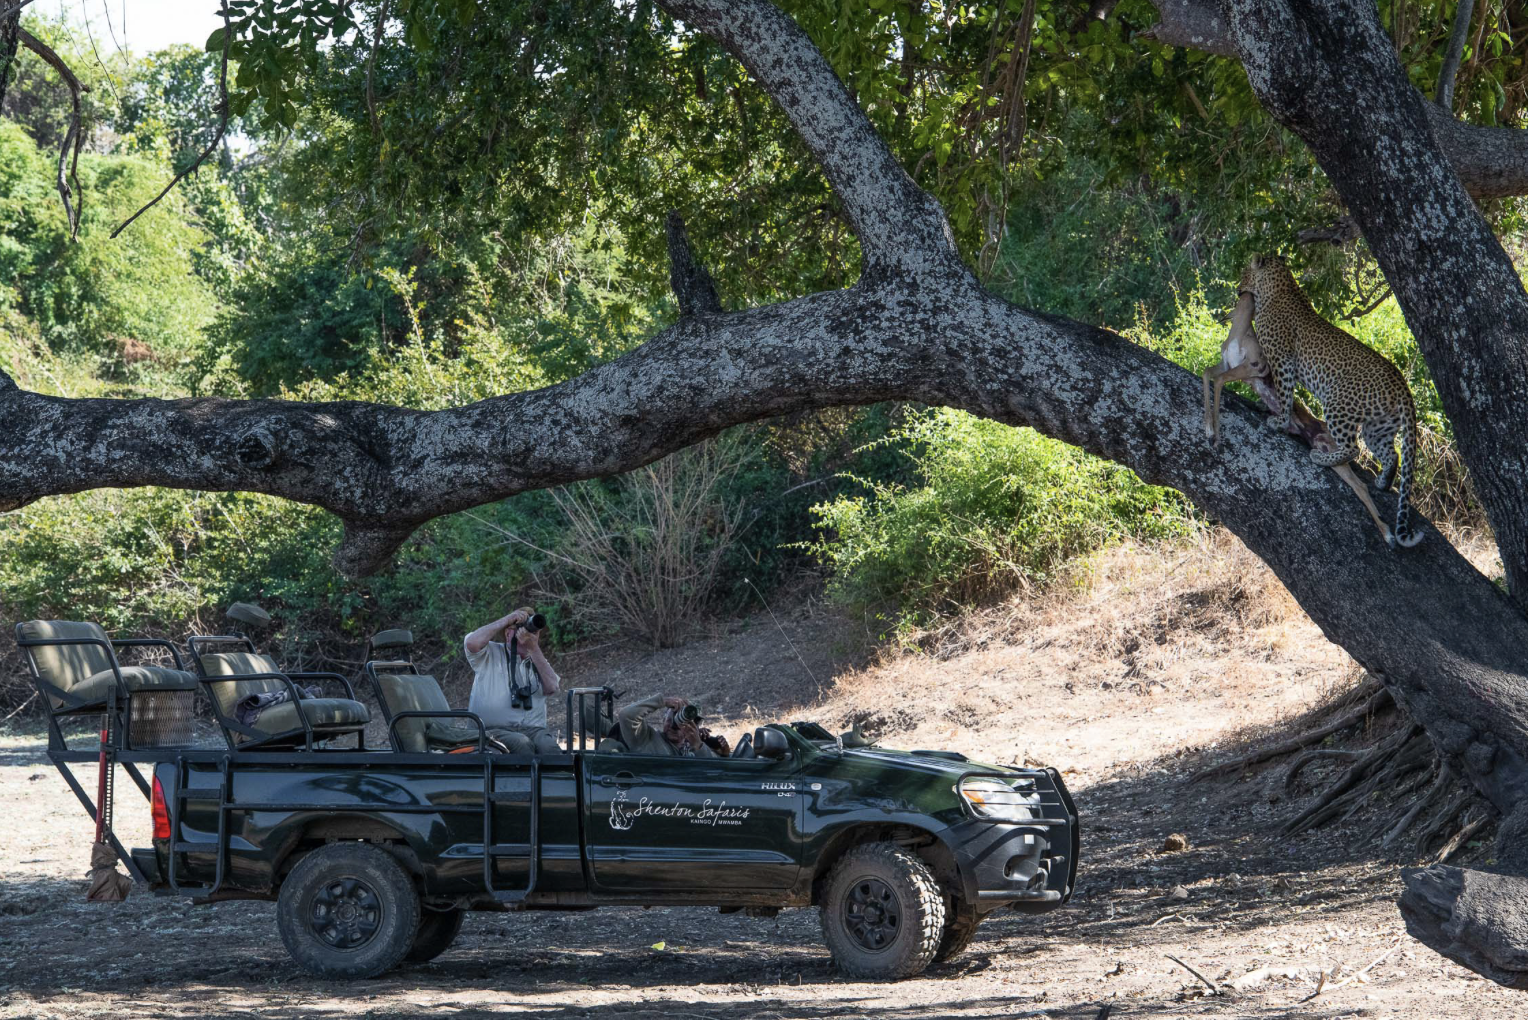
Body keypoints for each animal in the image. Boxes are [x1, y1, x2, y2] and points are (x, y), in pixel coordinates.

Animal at [1237, 253, 1423, 549]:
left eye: (1244, 274)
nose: (1237, 289)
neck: (1281, 285)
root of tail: (1402, 384)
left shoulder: (1282, 361)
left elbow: (1284, 394)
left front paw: (1279, 422)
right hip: (1379, 425)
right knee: (1391, 453)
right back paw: (1382, 483)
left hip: (1338, 404)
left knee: (1352, 448)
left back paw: (1321, 457)